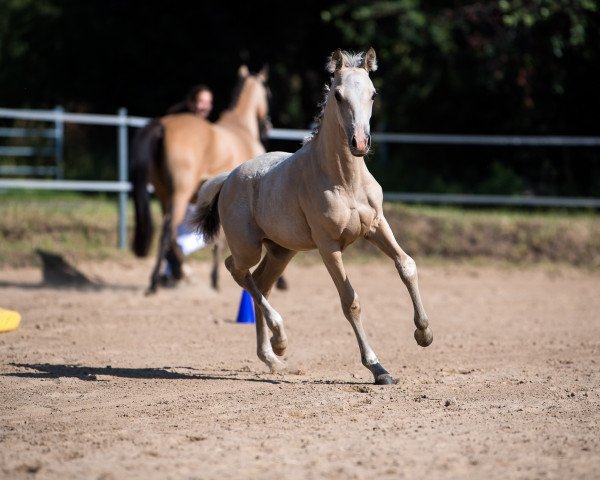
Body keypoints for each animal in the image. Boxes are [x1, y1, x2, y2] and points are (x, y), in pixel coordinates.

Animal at [134, 66, 272, 294]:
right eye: (268, 93)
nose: (267, 125)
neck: (242, 129)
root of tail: (163, 126)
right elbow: (222, 241)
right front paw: (216, 278)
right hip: (179, 196)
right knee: (168, 232)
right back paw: (159, 280)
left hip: (164, 195)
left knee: (171, 234)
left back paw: (177, 273)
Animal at [195, 48, 434, 386]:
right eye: (338, 95)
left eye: (373, 94)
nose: (360, 143)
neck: (344, 181)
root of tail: (228, 177)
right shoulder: (328, 246)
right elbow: (350, 301)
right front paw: (378, 368)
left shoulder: (377, 226)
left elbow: (407, 266)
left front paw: (423, 333)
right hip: (248, 247)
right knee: (237, 271)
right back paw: (279, 338)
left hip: (281, 251)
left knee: (261, 283)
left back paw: (272, 355)